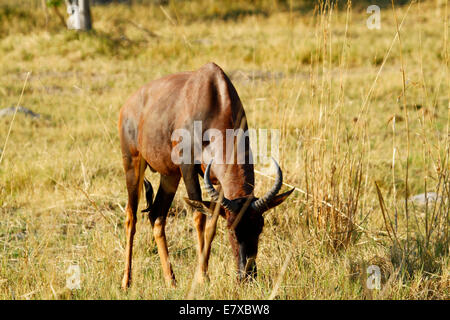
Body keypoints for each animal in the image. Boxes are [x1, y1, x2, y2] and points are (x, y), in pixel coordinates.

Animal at [118, 61, 294, 288]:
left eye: (260, 226)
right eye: (231, 229)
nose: (247, 277)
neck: (213, 97)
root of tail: (129, 104)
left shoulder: (218, 182)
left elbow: (211, 222)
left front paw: (203, 274)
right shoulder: (187, 168)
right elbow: (199, 216)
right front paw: (203, 277)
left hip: (170, 175)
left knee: (156, 215)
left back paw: (171, 281)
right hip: (133, 163)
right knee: (131, 217)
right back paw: (126, 282)